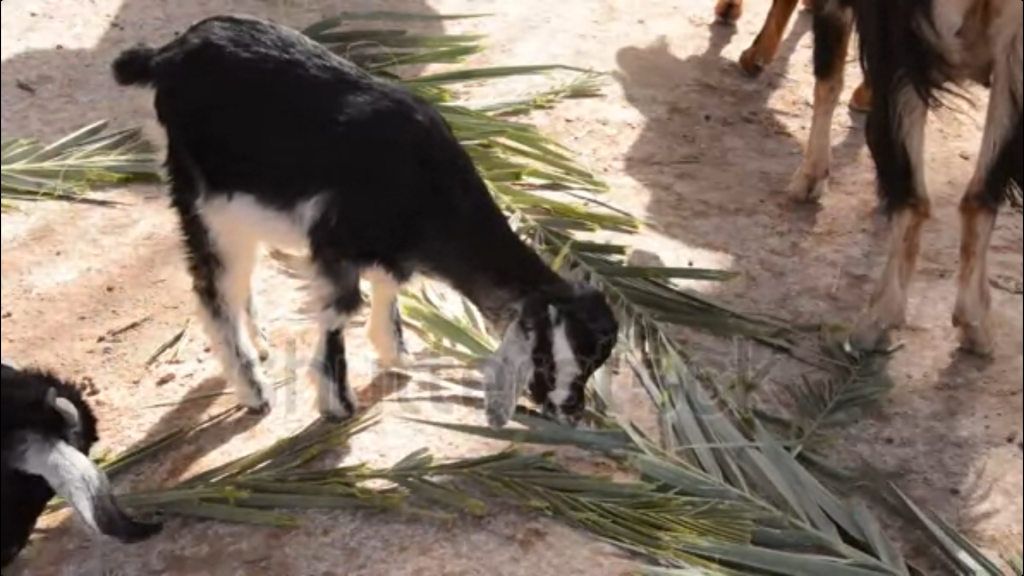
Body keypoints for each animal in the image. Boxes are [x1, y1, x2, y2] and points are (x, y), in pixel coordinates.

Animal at [110, 14, 614, 426]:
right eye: (549, 359)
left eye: (598, 364)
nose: (571, 413)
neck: (427, 184)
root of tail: (165, 56)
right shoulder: (334, 241)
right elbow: (340, 310)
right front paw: (338, 404)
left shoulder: (386, 249)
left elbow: (388, 287)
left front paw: (396, 353)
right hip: (202, 201)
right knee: (213, 289)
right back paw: (254, 391)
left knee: (238, 281)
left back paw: (261, 343)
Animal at [794, 0, 1019, 352]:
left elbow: (828, 74)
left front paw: (810, 177)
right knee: (978, 195)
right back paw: (975, 322)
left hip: (897, 43)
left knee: (912, 194)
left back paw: (877, 321)